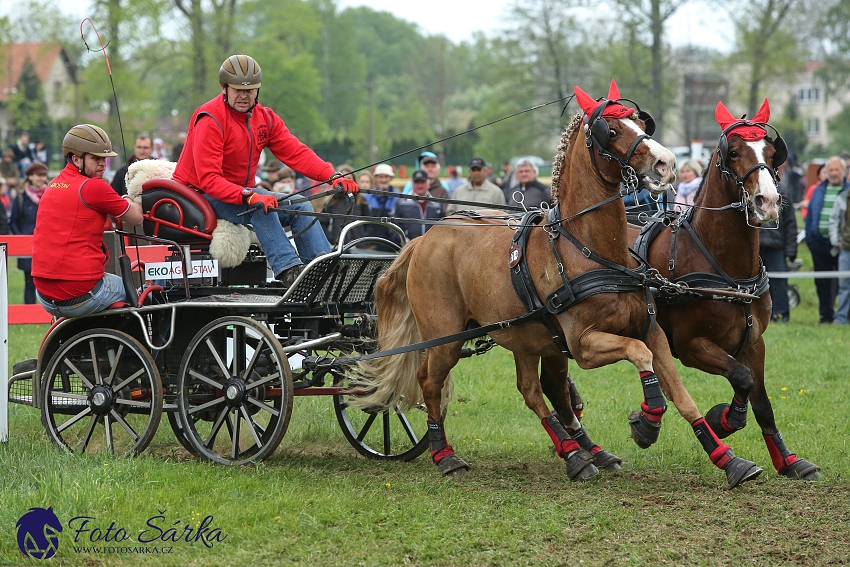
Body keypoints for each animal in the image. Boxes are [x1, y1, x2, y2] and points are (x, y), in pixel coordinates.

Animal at [348, 82, 760, 490]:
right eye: (611, 130)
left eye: (643, 123)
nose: (667, 163)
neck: (588, 249)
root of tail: (426, 237)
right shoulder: (583, 345)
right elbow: (639, 356)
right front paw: (647, 422)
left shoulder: (651, 330)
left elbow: (680, 392)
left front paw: (728, 459)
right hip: (445, 338)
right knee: (430, 383)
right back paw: (446, 455)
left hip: (524, 336)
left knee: (534, 390)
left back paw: (578, 454)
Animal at [628, 101, 820, 480]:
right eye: (733, 153)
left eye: (773, 154)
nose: (768, 201)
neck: (729, 272)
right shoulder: (692, 346)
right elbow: (741, 379)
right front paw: (725, 420)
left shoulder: (753, 343)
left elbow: (761, 401)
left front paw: (788, 461)